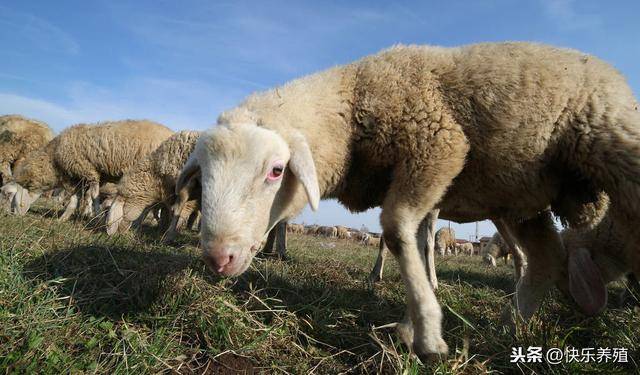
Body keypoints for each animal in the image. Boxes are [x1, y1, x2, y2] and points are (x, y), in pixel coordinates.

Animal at [13, 119, 172, 220]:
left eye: (15, 200)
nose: (14, 215)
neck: (54, 159)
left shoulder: (88, 171)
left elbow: (93, 195)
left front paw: (94, 216)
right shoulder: (78, 177)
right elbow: (78, 198)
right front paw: (67, 217)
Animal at [172, 41, 640, 362]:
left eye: (274, 170)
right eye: (204, 178)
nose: (218, 258)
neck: (354, 100)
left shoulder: (437, 146)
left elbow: (397, 230)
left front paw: (429, 334)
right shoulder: (413, 173)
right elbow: (409, 241)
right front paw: (414, 322)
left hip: (607, 147)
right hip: (518, 196)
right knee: (544, 259)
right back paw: (513, 330)